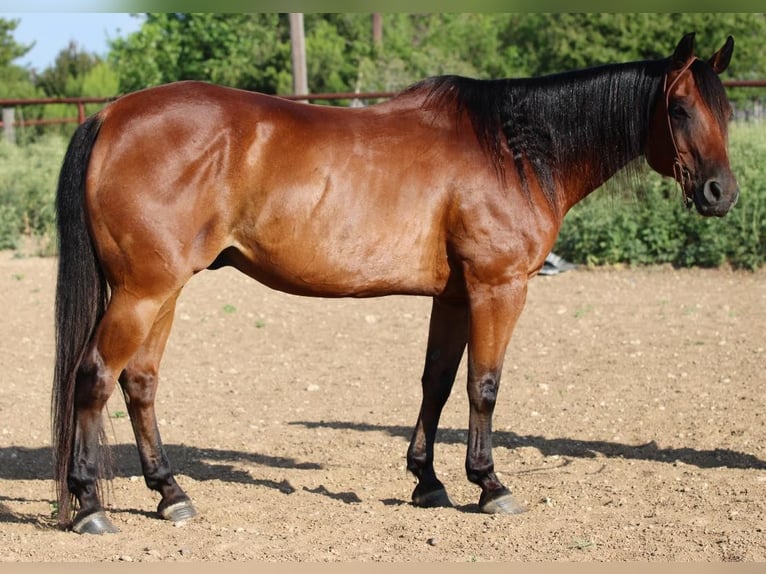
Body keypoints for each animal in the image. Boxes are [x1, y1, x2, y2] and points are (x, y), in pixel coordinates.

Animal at [51, 31, 740, 536]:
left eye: (728, 111)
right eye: (680, 109)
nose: (721, 193)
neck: (512, 151)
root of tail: (112, 116)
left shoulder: (456, 296)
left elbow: (438, 382)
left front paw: (428, 482)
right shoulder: (498, 288)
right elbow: (484, 387)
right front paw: (490, 485)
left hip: (163, 291)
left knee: (139, 383)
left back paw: (171, 494)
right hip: (143, 291)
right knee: (94, 377)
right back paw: (90, 506)